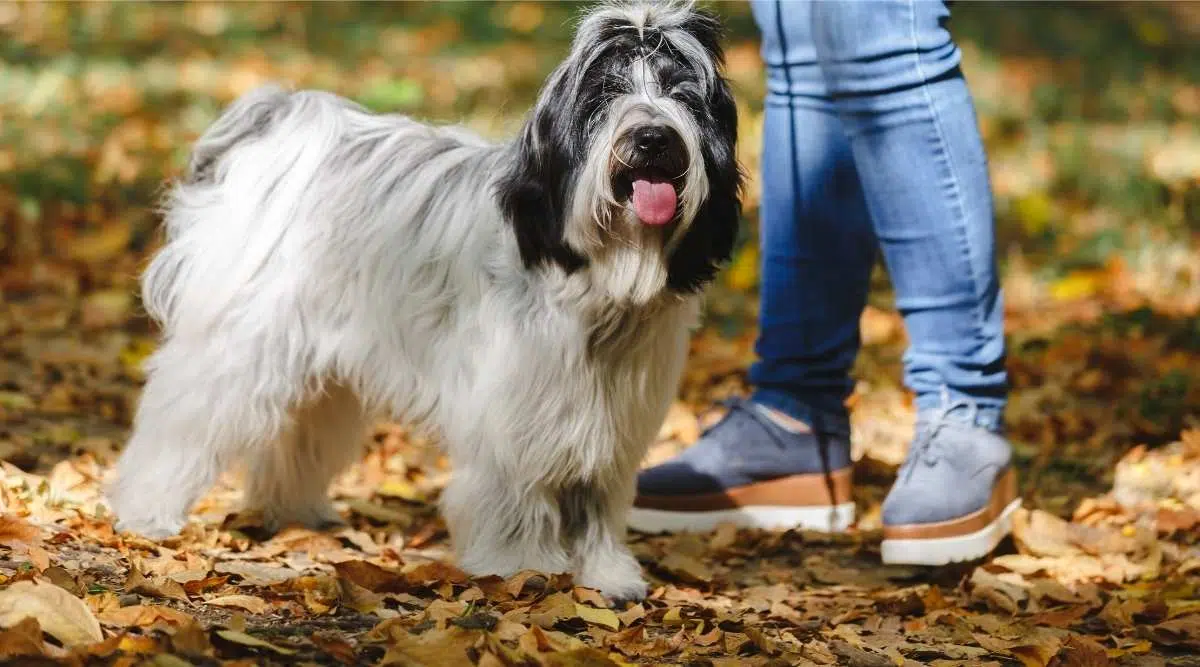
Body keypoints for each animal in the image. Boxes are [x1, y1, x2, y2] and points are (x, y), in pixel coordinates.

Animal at [108, 0, 739, 599]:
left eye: (683, 94)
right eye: (605, 94)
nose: (653, 137)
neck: (599, 278)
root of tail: (283, 125)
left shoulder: (608, 419)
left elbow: (596, 502)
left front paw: (605, 574)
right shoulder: (514, 410)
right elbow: (517, 493)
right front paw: (523, 566)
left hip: (320, 367)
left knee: (299, 435)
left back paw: (293, 512)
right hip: (236, 347)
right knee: (181, 420)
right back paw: (145, 509)